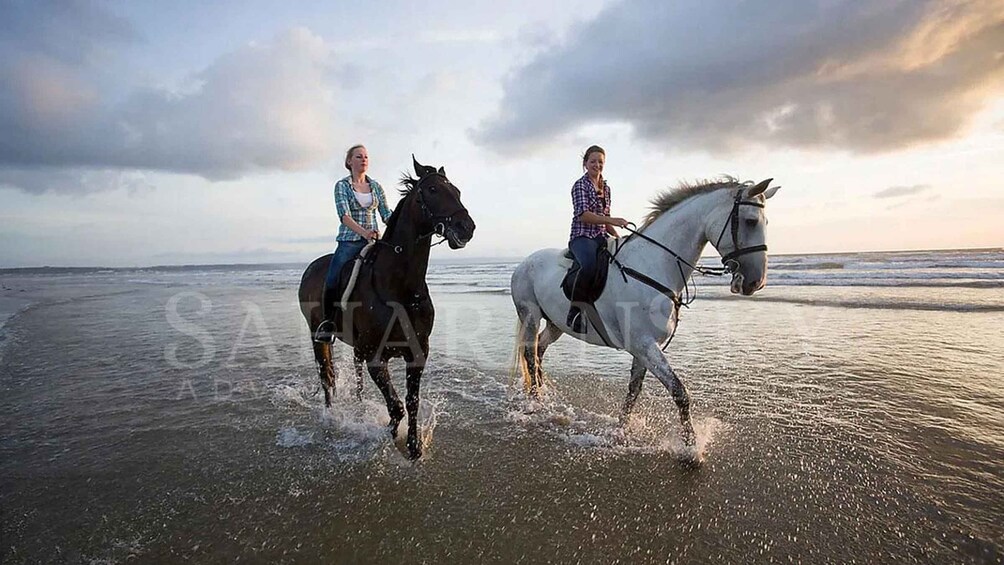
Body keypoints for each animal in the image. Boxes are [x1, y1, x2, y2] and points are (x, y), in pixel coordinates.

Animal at [295, 154, 475, 459]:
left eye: (458, 191)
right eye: (433, 190)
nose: (467, 228)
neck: (399, 288)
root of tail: (311, 268)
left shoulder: (417, 353)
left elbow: (410, 401)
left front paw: (413, 446)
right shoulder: (375, 357)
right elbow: (396, 406)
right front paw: (392, 434)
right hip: (317, 336)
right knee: (327, 377)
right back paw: (331, 417)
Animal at [514, 177, 779, 455]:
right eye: (751, 221)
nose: (756, 282)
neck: (654, 265)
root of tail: (524, 263)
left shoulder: (644, 348)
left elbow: (634, 391)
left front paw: (621, 430)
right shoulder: (644, 345)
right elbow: (679, 392)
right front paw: (690, 447)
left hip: (555, 324)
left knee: (540, 349)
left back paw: (542, 395)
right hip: (530, 316)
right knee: (530, 354)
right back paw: (535, 402)